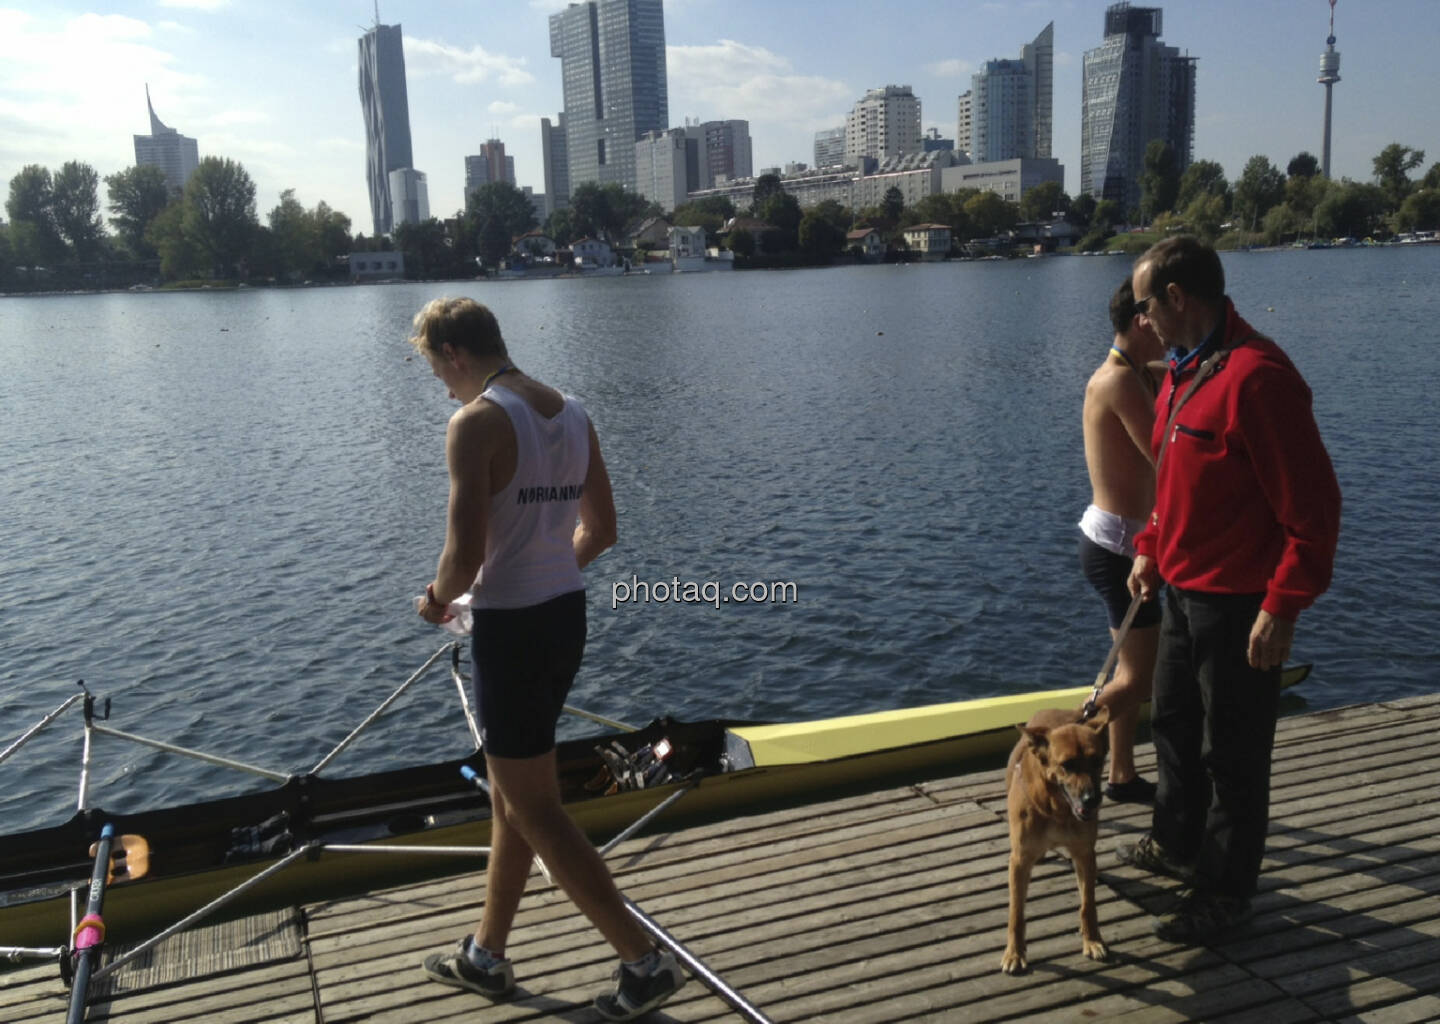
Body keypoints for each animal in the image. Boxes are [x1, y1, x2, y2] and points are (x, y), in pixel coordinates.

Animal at [1002, 708, 1111, 973]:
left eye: (1097, 760)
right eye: (1067, 765)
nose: (1092, 799)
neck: (1057, 810)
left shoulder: (1084, 854)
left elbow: (1087, 904)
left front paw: (1092, 940)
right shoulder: (1019, 860)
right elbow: (1016, 913)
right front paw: (1014, 953)